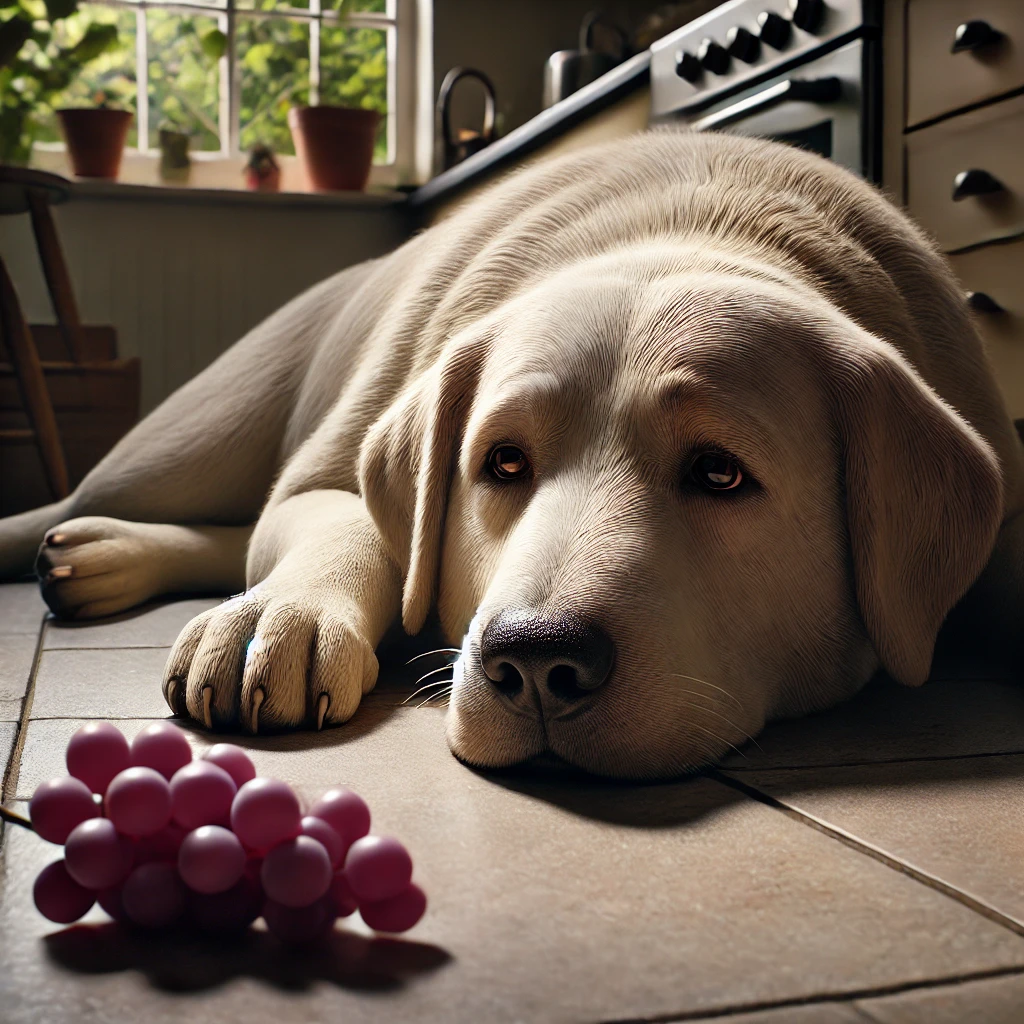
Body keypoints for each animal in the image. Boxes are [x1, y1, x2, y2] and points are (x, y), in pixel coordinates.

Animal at [2, 130, 1024, 782]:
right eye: (501, 464)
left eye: (720, 473)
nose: (537, 663)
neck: (698, 226)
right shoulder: (330, 472)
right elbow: (355, 529)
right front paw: (280, 619)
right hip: (194, 439)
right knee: (123, 499)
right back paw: (76, 543)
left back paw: (101, 559)